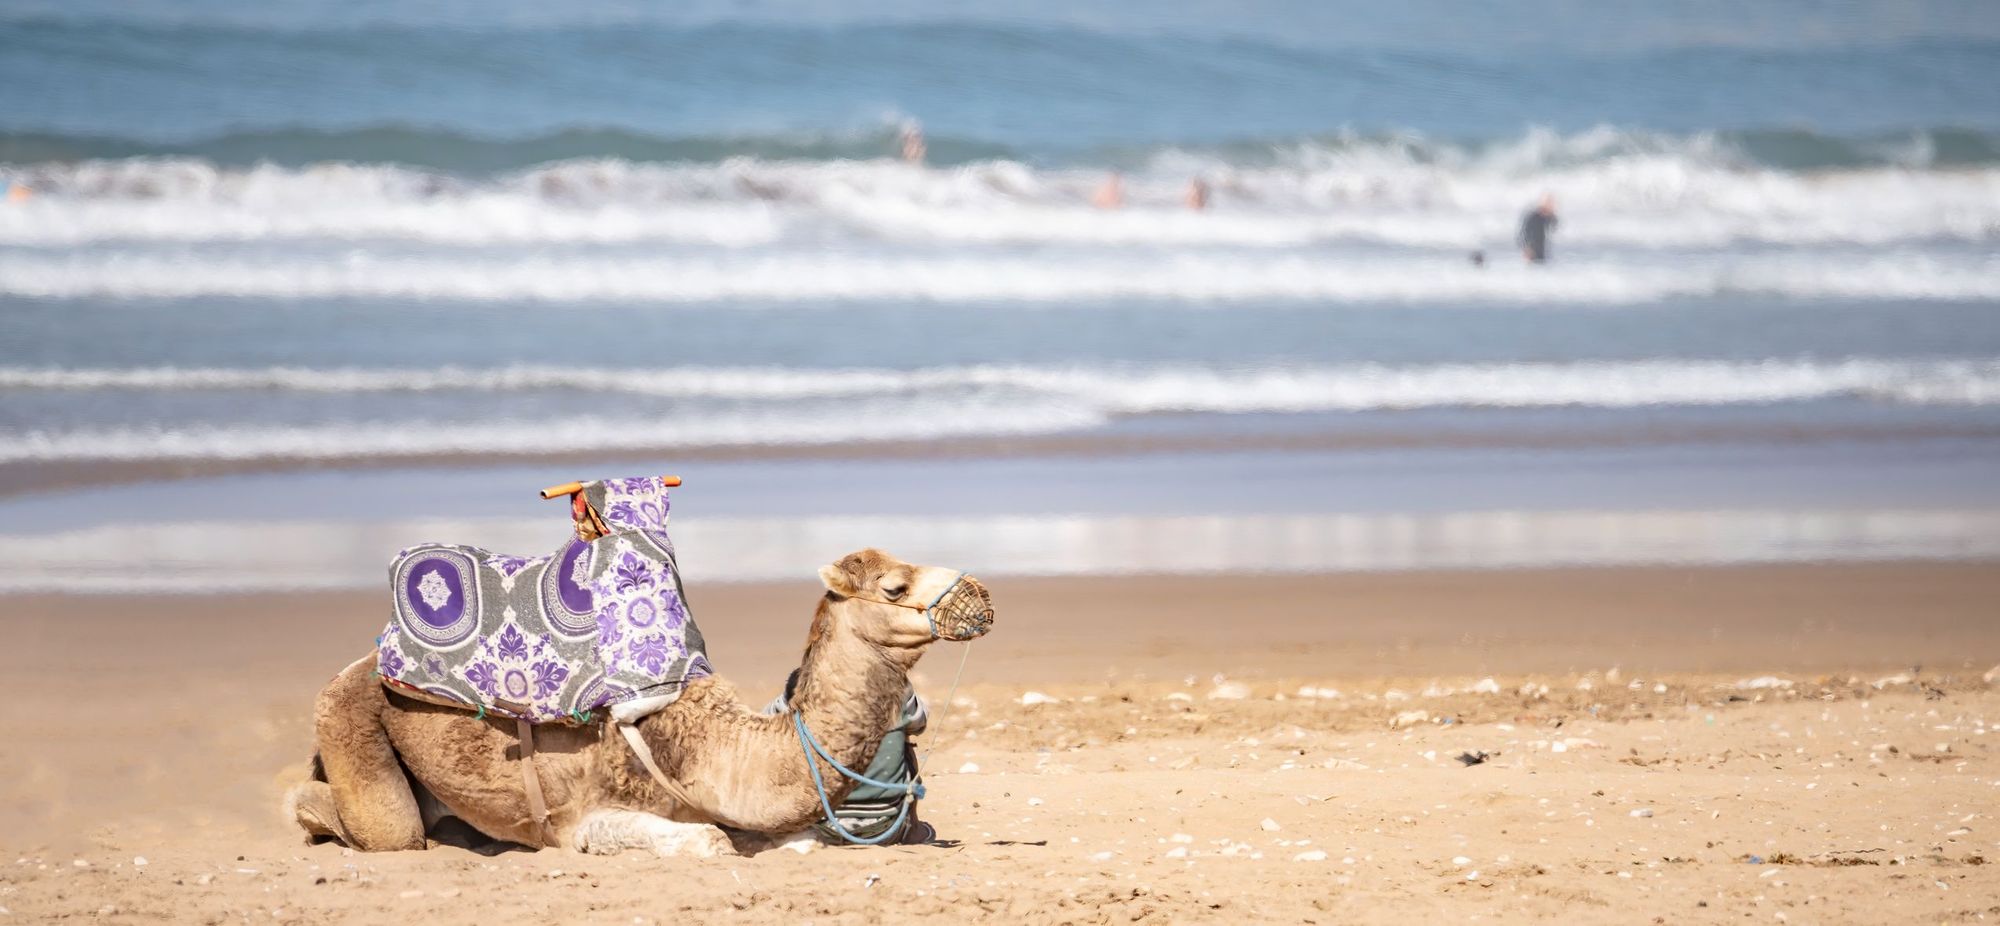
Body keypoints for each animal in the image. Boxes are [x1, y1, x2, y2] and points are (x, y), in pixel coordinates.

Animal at [288, 548, 992, 860]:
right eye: (894, 586)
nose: (981, 595)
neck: (712, 747)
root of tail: (359, 664)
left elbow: (797, 840)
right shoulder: (584, 817)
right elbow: (708, 841)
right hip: (346, 716)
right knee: (386, 828)